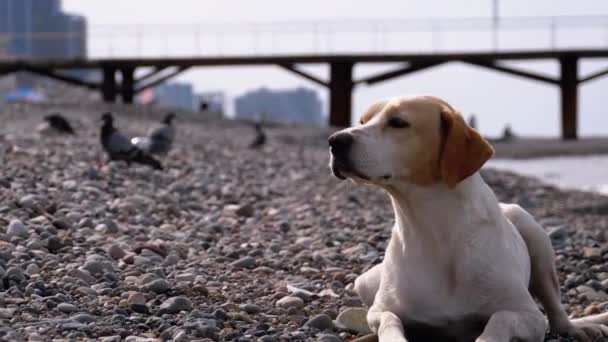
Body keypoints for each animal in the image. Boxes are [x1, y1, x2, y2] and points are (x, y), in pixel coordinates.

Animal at [330, 94, 608, 342]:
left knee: (557, 315)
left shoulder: (528, 315)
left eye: (398, 122)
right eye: (362, 120)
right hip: (364, 282)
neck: (434, 228)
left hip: (534, 235)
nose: (335, 140)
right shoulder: (380, 310)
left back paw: (577, 329)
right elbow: (390, 320)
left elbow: (500, 318)